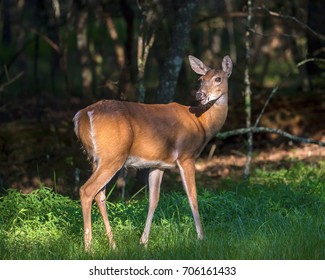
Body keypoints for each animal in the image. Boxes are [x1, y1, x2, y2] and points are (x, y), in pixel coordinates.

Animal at [72, 55, 232, 252]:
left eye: (218, 78)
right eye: (201, 80)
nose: (200, 95)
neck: (201, 123)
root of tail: (82, 116)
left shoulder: (158, 164)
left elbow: (153, 200)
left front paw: (143, 242)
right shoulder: (186, 156)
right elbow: (192, 196)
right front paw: (201, 237)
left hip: (95, 158)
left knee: (99, 195)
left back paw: (113, 244)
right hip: (113, 156)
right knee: (87, 190)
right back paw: (89, 247)